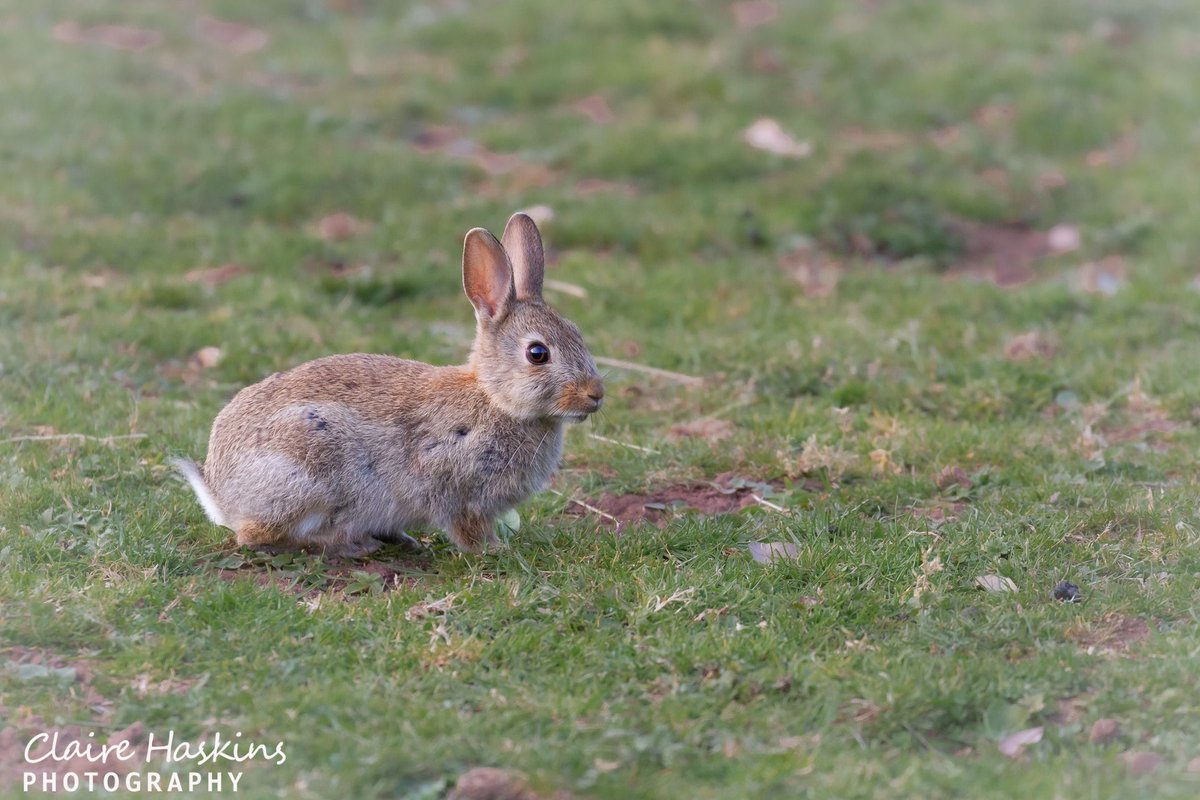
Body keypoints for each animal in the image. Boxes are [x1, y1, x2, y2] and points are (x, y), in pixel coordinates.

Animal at [174, 211, 604, 556]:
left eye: (578, 332)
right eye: (537, 353)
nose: (595, 395)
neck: (495, 398)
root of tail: (221, 493)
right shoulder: (457, 488)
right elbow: (467, 527)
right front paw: (495, 551)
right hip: (309, 468)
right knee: (258, 536)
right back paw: (352, 545)